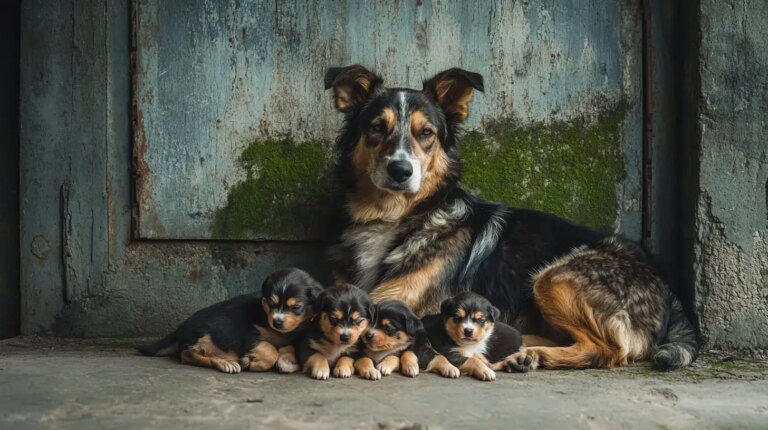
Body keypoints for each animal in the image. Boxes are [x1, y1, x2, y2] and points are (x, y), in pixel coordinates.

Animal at [140, 268, 322, 372]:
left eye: (296, 307)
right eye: (271, 303)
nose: (277, 322)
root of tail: (182, 327)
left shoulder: (291, 338)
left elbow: (286, 350)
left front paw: (287, 362)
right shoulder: (250, 335)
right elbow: (270, 351)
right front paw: (253, 363)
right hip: (204, 333)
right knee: (187, 354)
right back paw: (223, 364)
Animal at [328, 65, 700, 372]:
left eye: (426, 133)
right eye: (377, 128)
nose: (401, 171)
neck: (399, 217)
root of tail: (666, 285)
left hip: (554, 278)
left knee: (608, 351)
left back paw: (532, 355)